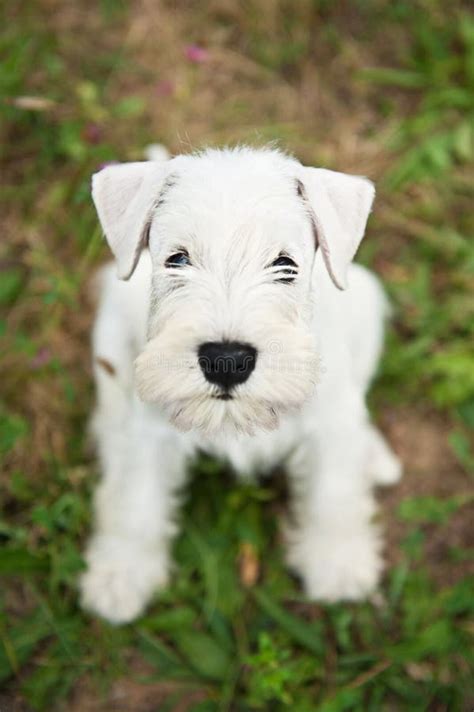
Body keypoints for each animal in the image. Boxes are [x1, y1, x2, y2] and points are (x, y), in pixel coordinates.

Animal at [80, 146, 400, 624]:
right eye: (177, 259)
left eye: (285, 264)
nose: (226, 361)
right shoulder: (150, 435)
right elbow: (138, 500)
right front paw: (121, 575)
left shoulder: (329, 427)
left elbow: (333, 492)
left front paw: (339, 564)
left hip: (366, 302)